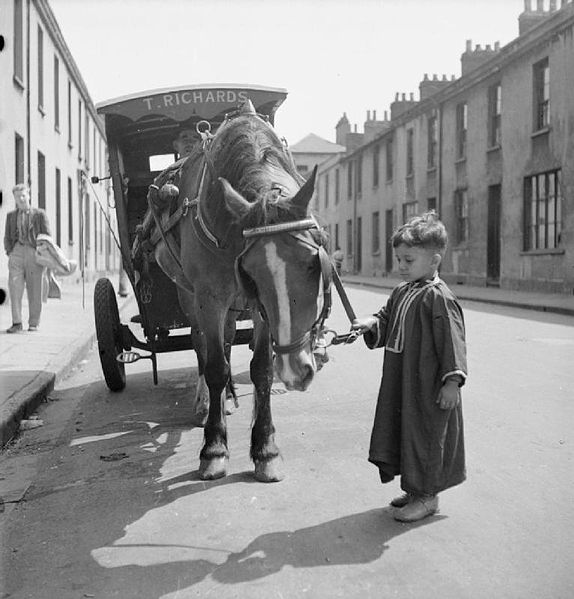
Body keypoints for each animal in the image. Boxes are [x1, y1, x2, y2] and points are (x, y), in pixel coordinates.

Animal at [150, 99, 332, 482]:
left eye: (313, 263)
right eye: (252, 273)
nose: (296, 371)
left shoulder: (257, 309)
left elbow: (260, 368)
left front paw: (265, 449)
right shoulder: (211, 298)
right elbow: (215, 367)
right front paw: (214, 448)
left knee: (228, 338)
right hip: (190, 297)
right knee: (203, 347)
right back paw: (206, 402)